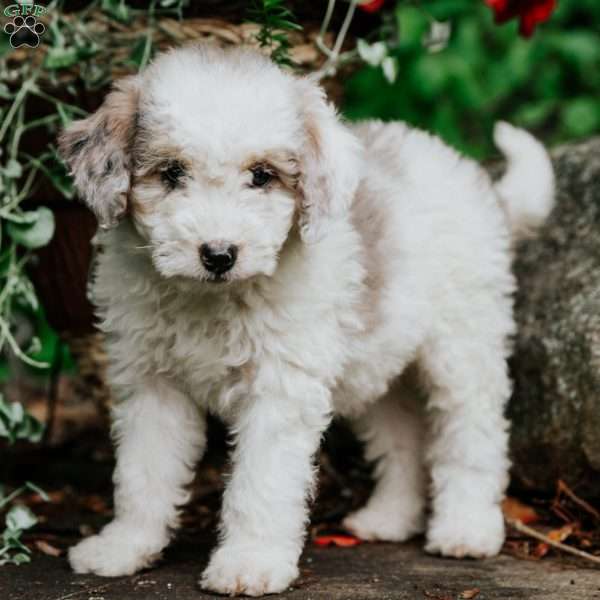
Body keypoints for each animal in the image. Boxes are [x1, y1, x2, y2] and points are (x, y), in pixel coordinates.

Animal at [58, 43, 556, 596]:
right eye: (171, 173)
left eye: (261, 175)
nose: (219, 254)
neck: (213, 299)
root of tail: (476, 181)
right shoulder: (151, 384)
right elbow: (142, 472)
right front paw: (125, 547)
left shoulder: (278, 389)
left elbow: (261, 482)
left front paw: (249, 563)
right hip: (378, 362)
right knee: (401, 435)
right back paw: (388, 518)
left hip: (462, 346)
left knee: (471, 434)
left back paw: (467, 529)